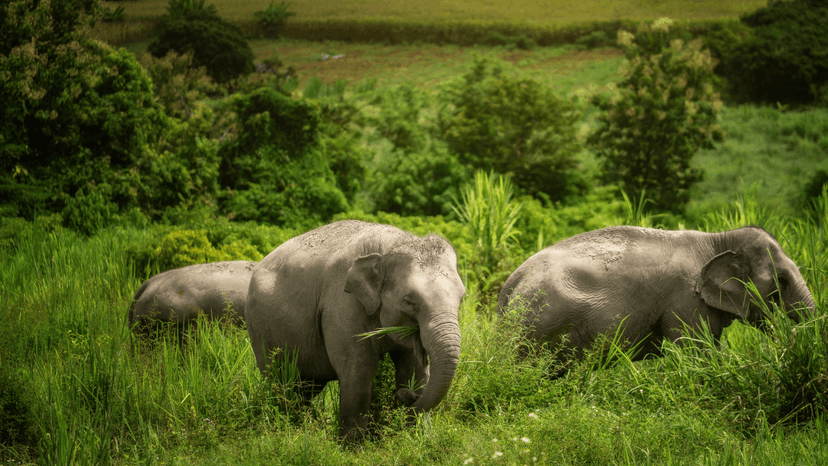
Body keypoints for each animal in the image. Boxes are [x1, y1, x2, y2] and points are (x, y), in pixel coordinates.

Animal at [245, 220, 465, 442]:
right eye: (410, 302)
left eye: (462, 298)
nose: (404, 397)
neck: (391, 246)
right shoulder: (341, 305)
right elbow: (358, 371)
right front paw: (353, 446)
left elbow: (413, 369)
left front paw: (417, 438)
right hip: (260, 327)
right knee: (280, 380)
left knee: (305, 387)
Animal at [498, 225, 816, 366]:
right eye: (782, 281)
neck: (718, 239)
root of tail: (509, 287)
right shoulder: (686, 299)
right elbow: (694, 352)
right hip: (538, 325)